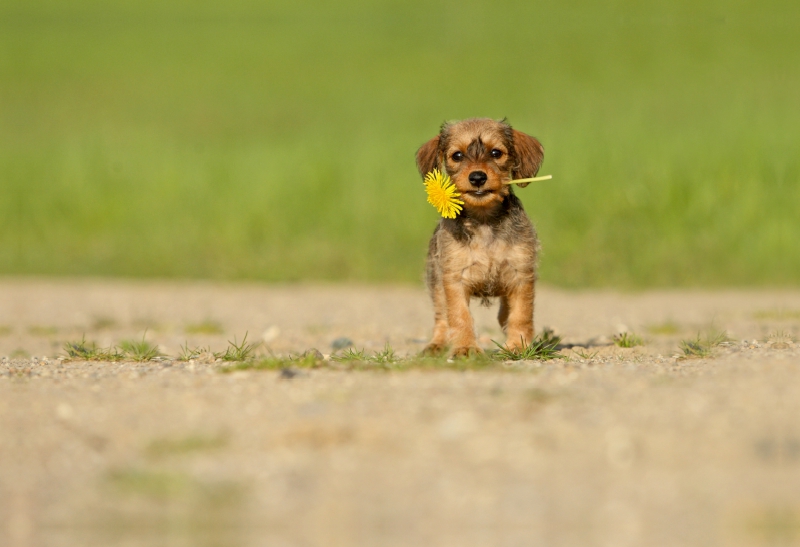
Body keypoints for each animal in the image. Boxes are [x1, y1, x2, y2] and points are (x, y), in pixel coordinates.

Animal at [418, 117, 544, 358]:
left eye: (496, 153)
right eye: (457, 155)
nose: (477, 177)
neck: (484, 221)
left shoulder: (521, 276)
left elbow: (521, 315)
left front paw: (518, 346)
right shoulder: (454, 279)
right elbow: (459, 317)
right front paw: (466, 348)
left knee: (503, 315)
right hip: (435, 282)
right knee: (441, 317)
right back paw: (437, 344)